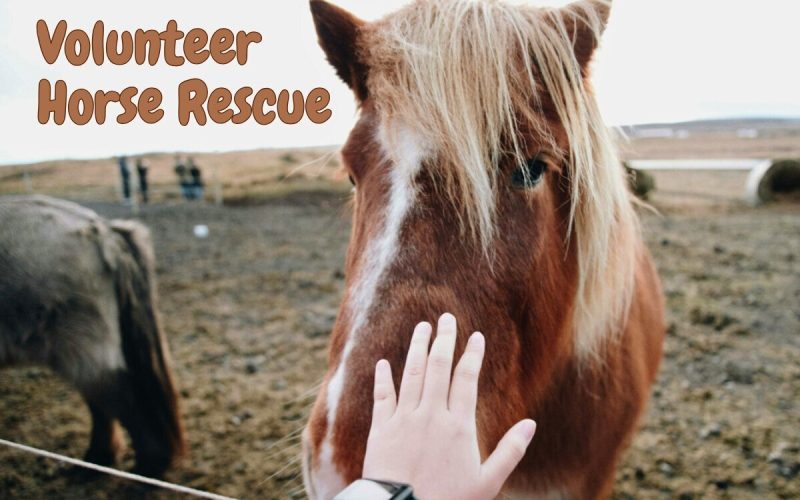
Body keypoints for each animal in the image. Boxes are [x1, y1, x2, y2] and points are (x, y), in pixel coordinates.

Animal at [0, 195, 185, 477]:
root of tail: (102, 230)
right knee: (104, 403)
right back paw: (101, 460)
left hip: (81, 345)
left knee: (118, 400)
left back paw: (141, 467)